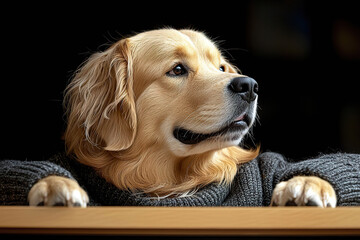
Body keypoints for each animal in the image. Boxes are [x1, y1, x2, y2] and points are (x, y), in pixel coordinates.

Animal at [26, 28, 336, 206]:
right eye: (177, 69)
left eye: (221, 67)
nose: (249, 86)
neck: (172, 183)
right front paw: (55, 185)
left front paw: (307, 184)